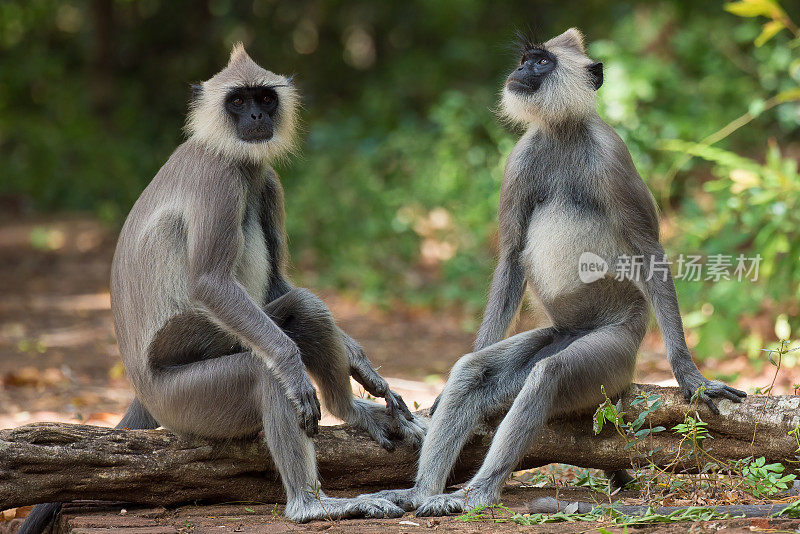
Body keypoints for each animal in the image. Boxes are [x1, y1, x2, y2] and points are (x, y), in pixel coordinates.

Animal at [20, 42, 424, 532]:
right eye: (238, 101)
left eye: (265, 98)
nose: (255, 117)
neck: (223, 147)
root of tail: (142, 388)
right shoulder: (220, 178)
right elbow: (211, 285)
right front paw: (294, 367)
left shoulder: (265, 179)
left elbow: (278, 285)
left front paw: (362, 365)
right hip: (184, 399)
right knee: (263, 369)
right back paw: (310, 504)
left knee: (302, 308)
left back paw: (350, 412)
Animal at [366, 27, 748, 516]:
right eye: (526, 59)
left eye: (542, 62)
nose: (522, 71)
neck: (562, 133)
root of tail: (577, 328)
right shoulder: (521, 157)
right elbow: (512, 255)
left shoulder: (611, 154)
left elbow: (649, 251)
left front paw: (690, 377)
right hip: (557, 332)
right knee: (474, 372)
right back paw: (423, 492)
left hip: (616, 349)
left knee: (548, 375)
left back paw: (477, 494)